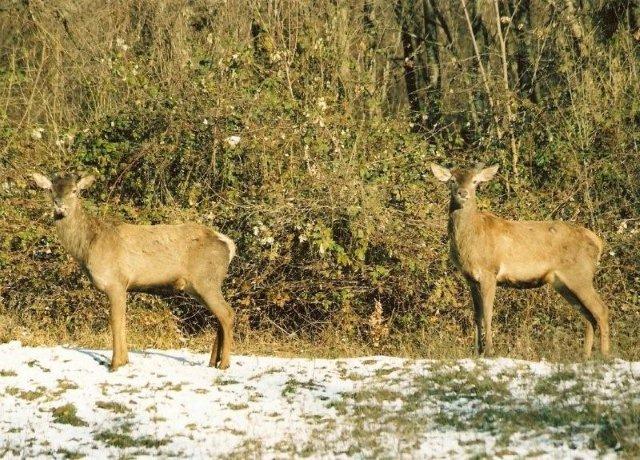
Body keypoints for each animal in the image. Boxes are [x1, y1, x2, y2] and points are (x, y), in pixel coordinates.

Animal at [31, 172, 236, 370]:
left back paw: (224, 364)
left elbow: (115, 321)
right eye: (50, 190)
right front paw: (125, 361)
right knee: (219, 316)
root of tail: (229, 245)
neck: (88, 246)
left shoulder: (116, 282)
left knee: (227, 313)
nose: (59, 206)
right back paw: (213, 361)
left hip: (206, 280)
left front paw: (115, 364)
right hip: (198, 286)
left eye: (74, 190)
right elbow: (122, 320)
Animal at [430, 164, 608, 358]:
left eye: (475, 181)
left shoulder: (489, 271)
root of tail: (598, 242)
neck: (469, 242)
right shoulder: (470, 278)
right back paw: (585, 356)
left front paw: (489, 351)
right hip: (563, 282)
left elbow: (488, 312)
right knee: (588, 315)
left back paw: (605, 354)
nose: (463, 193)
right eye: (452, 180)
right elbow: (476, 315)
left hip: (580, 274)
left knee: (601, 309)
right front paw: (476, 351)